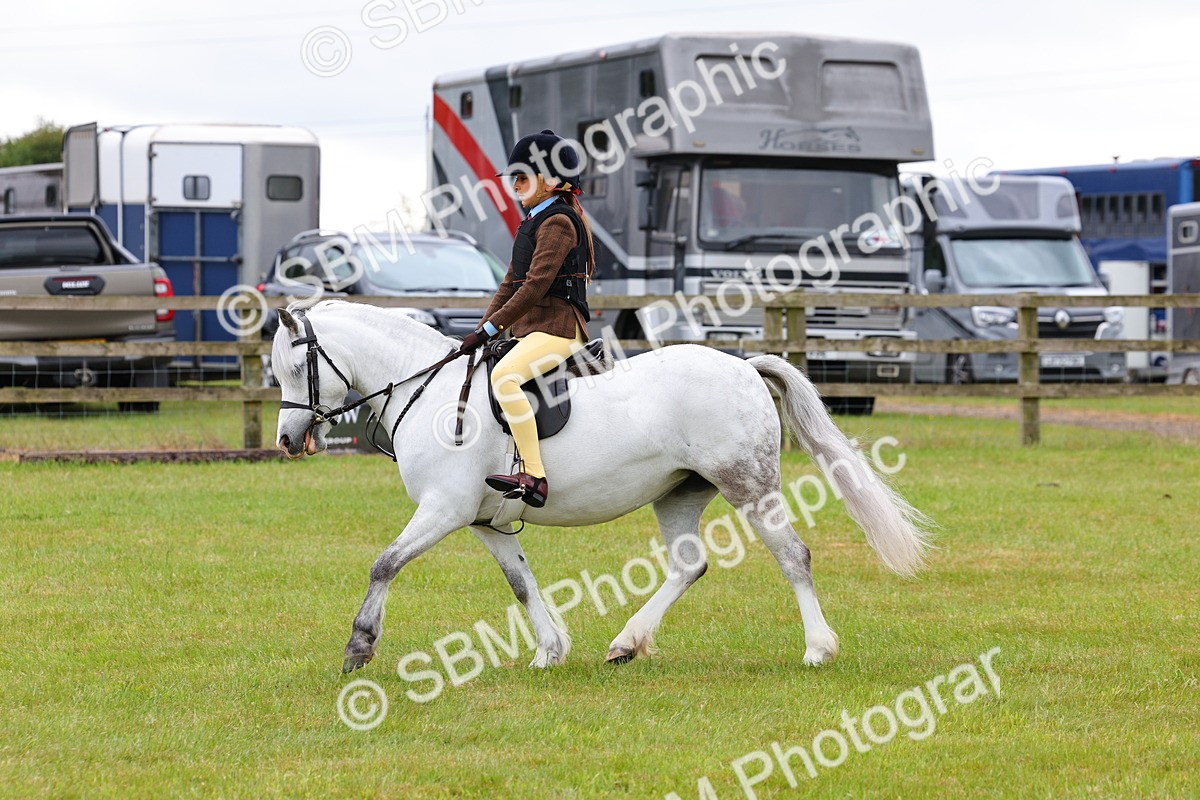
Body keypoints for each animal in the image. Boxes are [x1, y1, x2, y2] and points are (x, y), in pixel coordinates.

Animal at [271, 300, 932, 673]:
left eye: (296, 367)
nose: (286, 438)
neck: (428, 391)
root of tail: (744, 365)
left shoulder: (444, 509)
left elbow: (384, 563)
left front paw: (359, 647)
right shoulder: (485, 521)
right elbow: (521, 582)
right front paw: (549, 650)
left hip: (748, 484)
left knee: (793, 554)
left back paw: (818, 649)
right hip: (678, 493)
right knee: (688, 566)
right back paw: (626, 643)